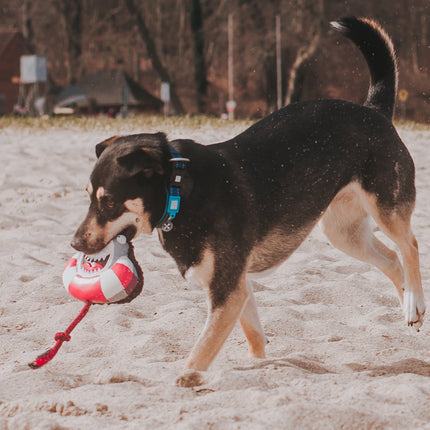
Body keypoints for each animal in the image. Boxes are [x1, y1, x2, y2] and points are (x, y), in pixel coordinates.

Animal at [72, 17, 424, 380]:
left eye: (109, 202)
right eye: (88, 197)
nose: (75, 243)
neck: (180, 191)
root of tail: (374, 111)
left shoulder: (228, 290)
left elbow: (201, 350)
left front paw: (186, 379)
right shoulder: (237, 287)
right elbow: (253, 334)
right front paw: (259, 365)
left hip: (385, 206)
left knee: (409, 246)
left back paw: (413, 299)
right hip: (344, 233)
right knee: (391, 258)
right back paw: (410, 306)